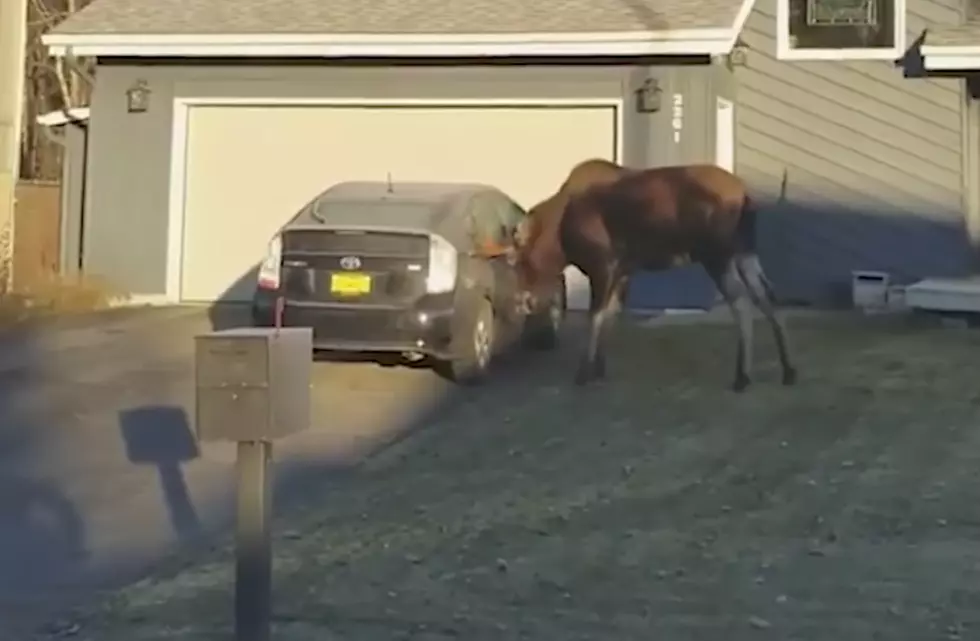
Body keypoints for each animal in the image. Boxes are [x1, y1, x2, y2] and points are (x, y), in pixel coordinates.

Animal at [510, 159, 800, 390]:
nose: (525, 301)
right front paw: (599, 367)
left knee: (741, 301)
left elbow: (595, 317)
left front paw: (584, 372)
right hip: (744, 250)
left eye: (519, 260)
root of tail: (745, 195)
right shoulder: (623, 271)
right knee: (767, 294)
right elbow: (610, 315)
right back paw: (788, 369)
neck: (560, 239)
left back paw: (743, 376)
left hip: (716, 254)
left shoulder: (603, 266)